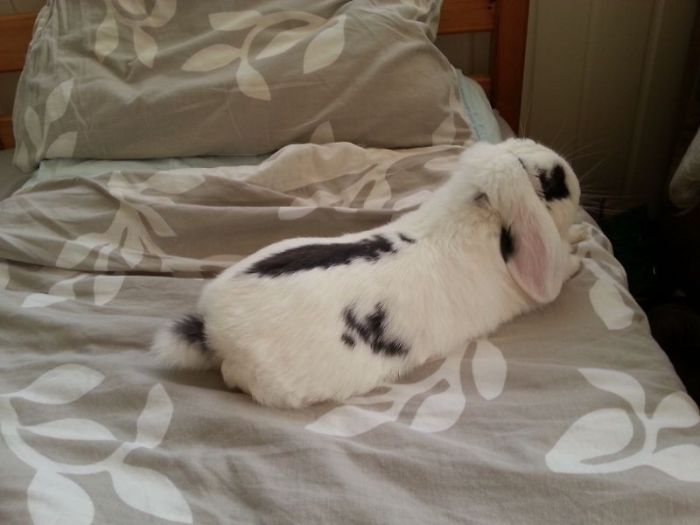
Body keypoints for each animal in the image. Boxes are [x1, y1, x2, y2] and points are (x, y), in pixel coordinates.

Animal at [152, 139, 582, 409]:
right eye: (554, 181)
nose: (575, 180)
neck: (475, 214)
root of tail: (211, 330)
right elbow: (562, 269)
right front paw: (578, 259)